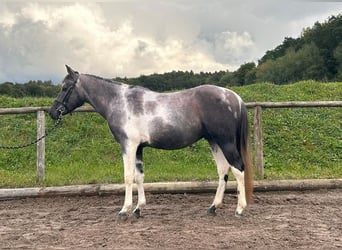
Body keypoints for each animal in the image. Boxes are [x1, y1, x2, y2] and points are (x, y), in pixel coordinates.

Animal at [48, 65, 254, 220]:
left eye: (65, 88)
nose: (53, 112)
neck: (120, 102)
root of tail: (235, 97)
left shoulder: (128, 145)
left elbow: (128, 177)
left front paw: (124, 210)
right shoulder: (138, 148)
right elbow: (139, 176)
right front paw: (138, 209)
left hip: (225, 142)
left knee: (238, 168)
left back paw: (240, 209)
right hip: (214, 141)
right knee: (223, 170)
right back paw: (213, 207)